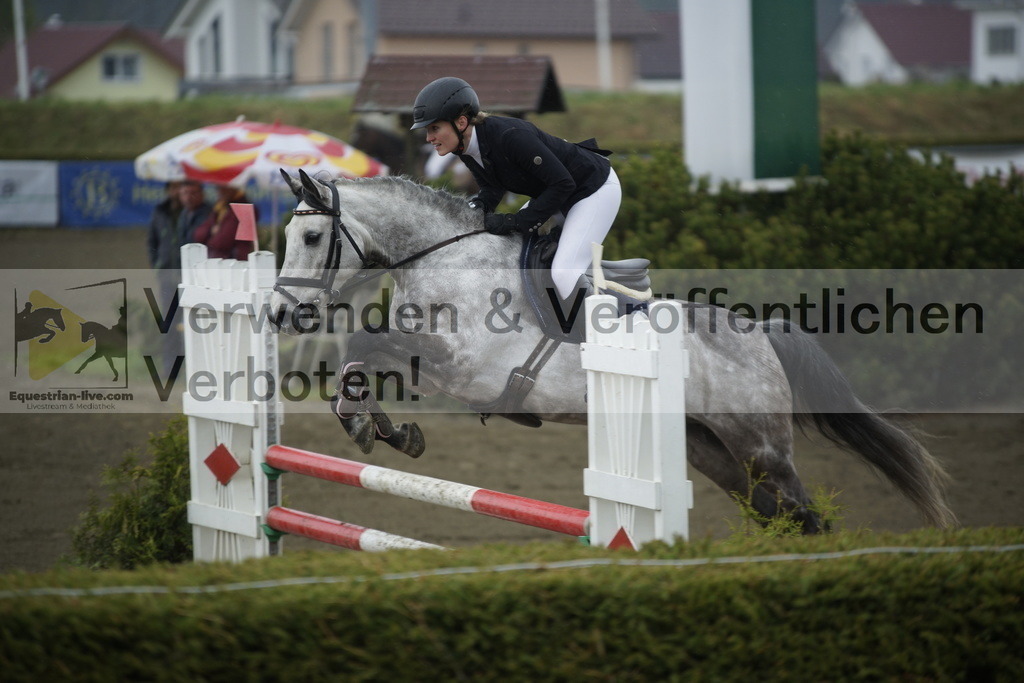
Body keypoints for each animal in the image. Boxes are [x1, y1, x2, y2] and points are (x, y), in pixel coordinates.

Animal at [268, 171, 954, 532]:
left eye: (311, 236)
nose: (278, 314)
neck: (448, 258)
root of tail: (759, 334)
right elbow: (359, 357)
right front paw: (379, 427)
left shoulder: (460, 366)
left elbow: (365, 341)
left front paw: (377, 428)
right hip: (715, 452)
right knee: (775, 514)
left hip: (761, 447)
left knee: (806, 515)